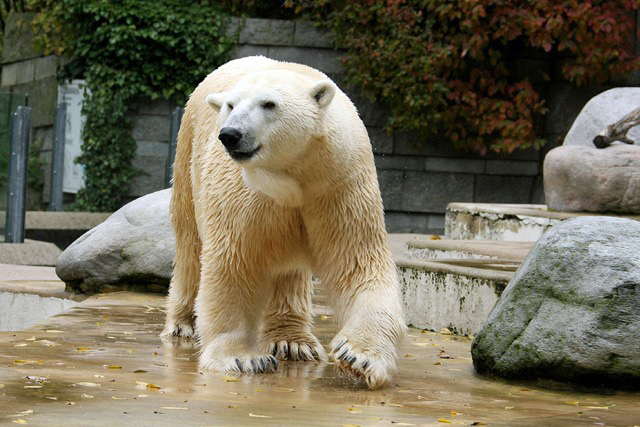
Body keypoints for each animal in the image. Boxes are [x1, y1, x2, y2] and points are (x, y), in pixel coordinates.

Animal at [164, 56, 404, 388]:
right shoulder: (244, 194)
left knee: (289, 271)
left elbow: (357, 262)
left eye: (269, 103)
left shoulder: (339, 184)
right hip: (188, 155)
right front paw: (241, 358)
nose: (230, 134)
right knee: (189, 242)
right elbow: (234, 262)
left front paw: (359, 357)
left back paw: (293, 341)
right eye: (230, 105)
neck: (294, 175)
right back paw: (181, 324)